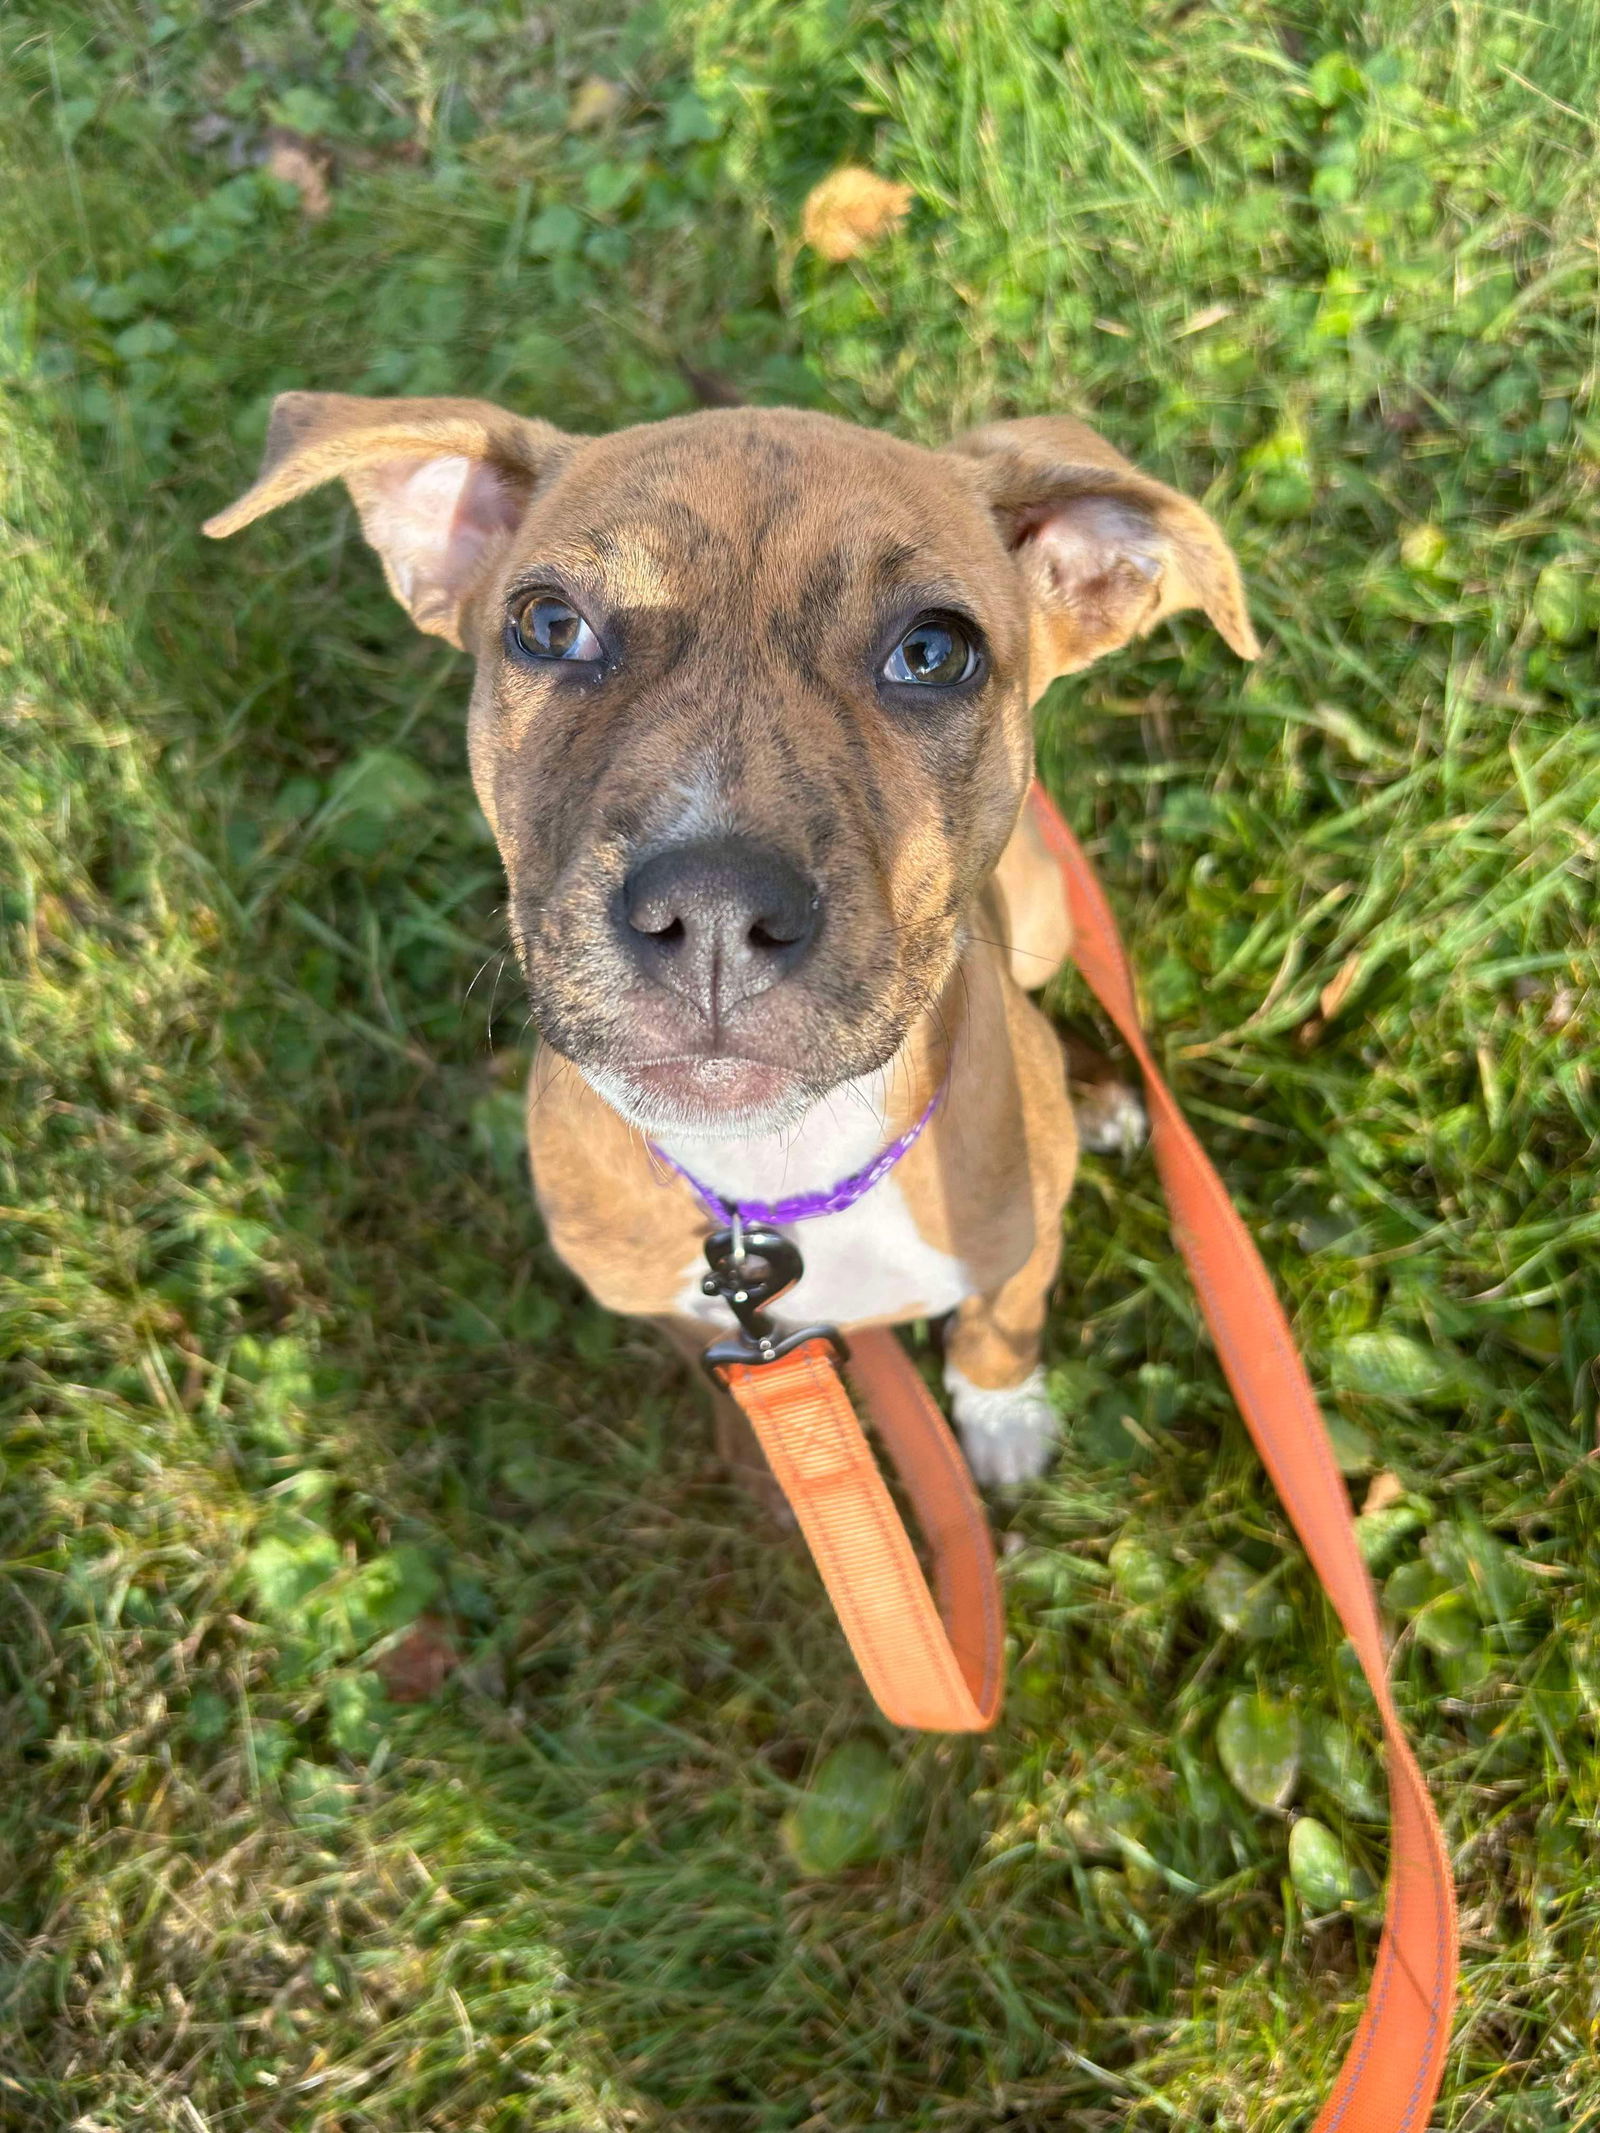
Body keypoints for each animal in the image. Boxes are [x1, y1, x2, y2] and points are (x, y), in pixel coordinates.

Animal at [206, 407, 1262, 1493]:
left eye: (934, 653)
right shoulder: (666, 1301)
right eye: (550, 626)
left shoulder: (1016, 1250)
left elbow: (997, 1328)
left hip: (1046, 920)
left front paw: (1003, 1416)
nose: (711, 911)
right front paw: (763, 1465)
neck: (782, 1172)